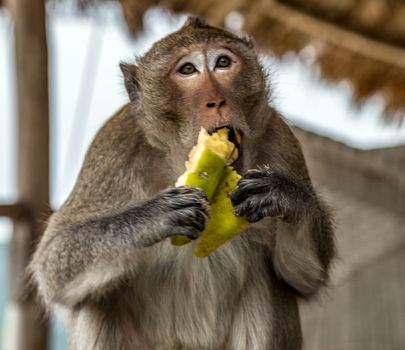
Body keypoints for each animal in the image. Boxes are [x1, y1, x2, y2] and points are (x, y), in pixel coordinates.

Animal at [29, 16, 334, 350]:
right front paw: (151, 217)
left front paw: (285, 196)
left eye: (223, 63)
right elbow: (55, 261)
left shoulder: (282, 140)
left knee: (270, 282)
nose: (217, 100)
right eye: (188, 70)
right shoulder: (112, 148)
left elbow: (303, 275)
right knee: (94, 300)